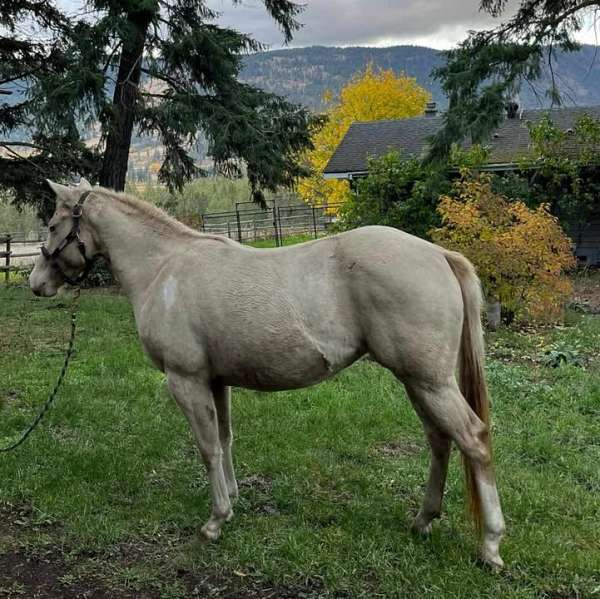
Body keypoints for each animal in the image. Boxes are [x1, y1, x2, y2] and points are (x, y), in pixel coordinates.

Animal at [29, 178, 506, 568]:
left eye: (52, 225)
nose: (35, 283)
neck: (165, 269)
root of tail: (438, 254)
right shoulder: (215, 381)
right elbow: (224, 440)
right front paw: (233, 499)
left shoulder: (186, 381)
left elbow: (207, 448)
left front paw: (215, 521)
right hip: (418, 382)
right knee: (440, 441)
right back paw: (424, 520)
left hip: (429, 382)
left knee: (473, 440)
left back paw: (490, 546)